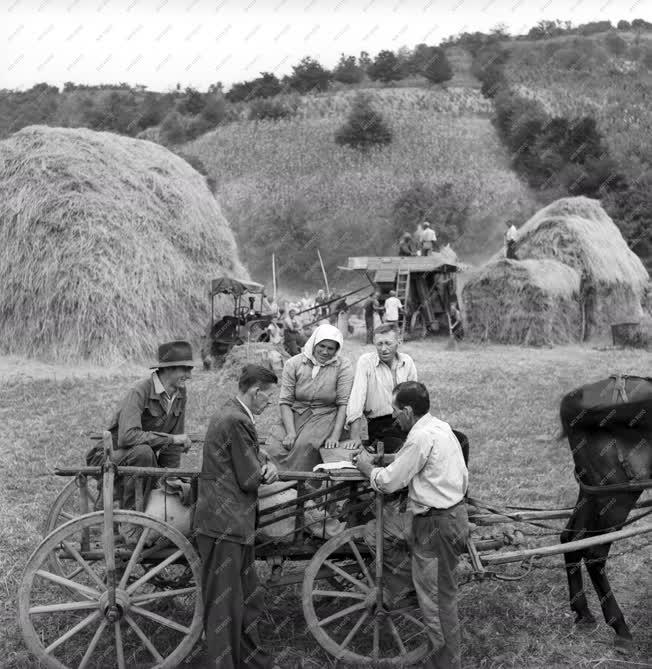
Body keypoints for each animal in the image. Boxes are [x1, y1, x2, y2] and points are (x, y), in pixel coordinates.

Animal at [556, 374, 652, 644]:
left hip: (593, 492)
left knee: (572, 538)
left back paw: (583, 612)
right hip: (618, 495)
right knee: (595, 553)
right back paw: (619, 626)